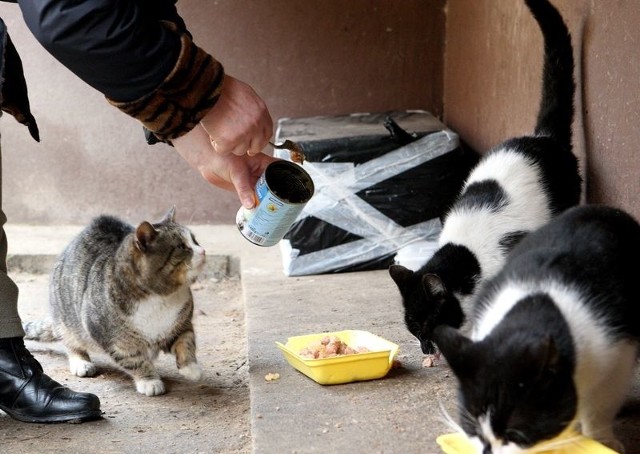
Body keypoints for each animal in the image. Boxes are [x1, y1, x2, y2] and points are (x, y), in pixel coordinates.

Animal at [24, 207, 205, 396]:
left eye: (195, 240)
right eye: (181, 247)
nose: (203, 251)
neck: (160, 297)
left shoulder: (181, 325)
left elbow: (186, 342)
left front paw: (191, 369)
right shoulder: (114, 340)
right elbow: (134, 360)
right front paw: (149, 381)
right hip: (66, 319)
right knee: (71, 343)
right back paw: (81, 363)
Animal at [432, 206, 636, 454]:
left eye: (515, 434)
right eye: (473, 426)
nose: (489, 450)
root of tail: (604, 209)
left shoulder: (617, 357)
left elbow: (602, 406)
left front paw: (603, 440)